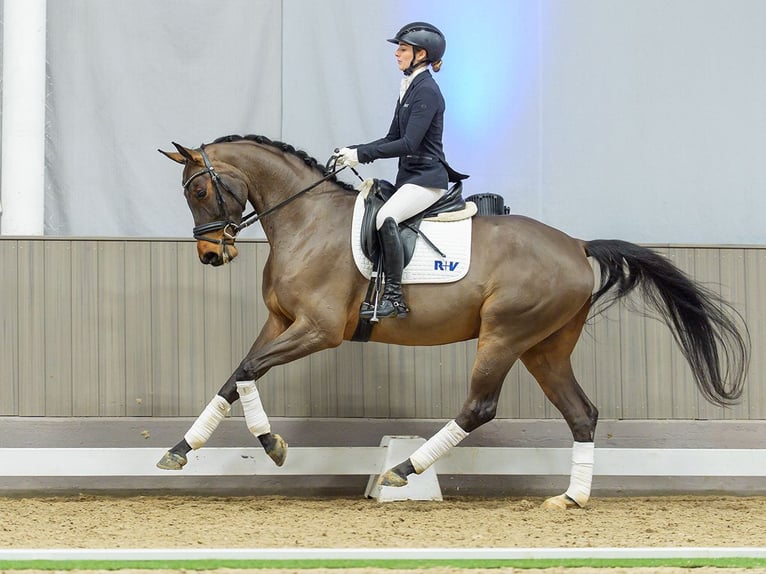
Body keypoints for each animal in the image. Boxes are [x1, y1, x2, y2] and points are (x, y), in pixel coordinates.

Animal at [157, 134, 749, 509]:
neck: (307, 221)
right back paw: (570, 498)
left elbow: (249, 371)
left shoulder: (320, 330)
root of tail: (577, 246)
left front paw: (271, 445)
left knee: (479, 407)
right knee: (582, 413)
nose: (210, 255)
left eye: (199, 189)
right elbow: (236, 374)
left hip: (504, 335)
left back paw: (403, 470)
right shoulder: (281, 321)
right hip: (545, 348)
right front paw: (180, 451)